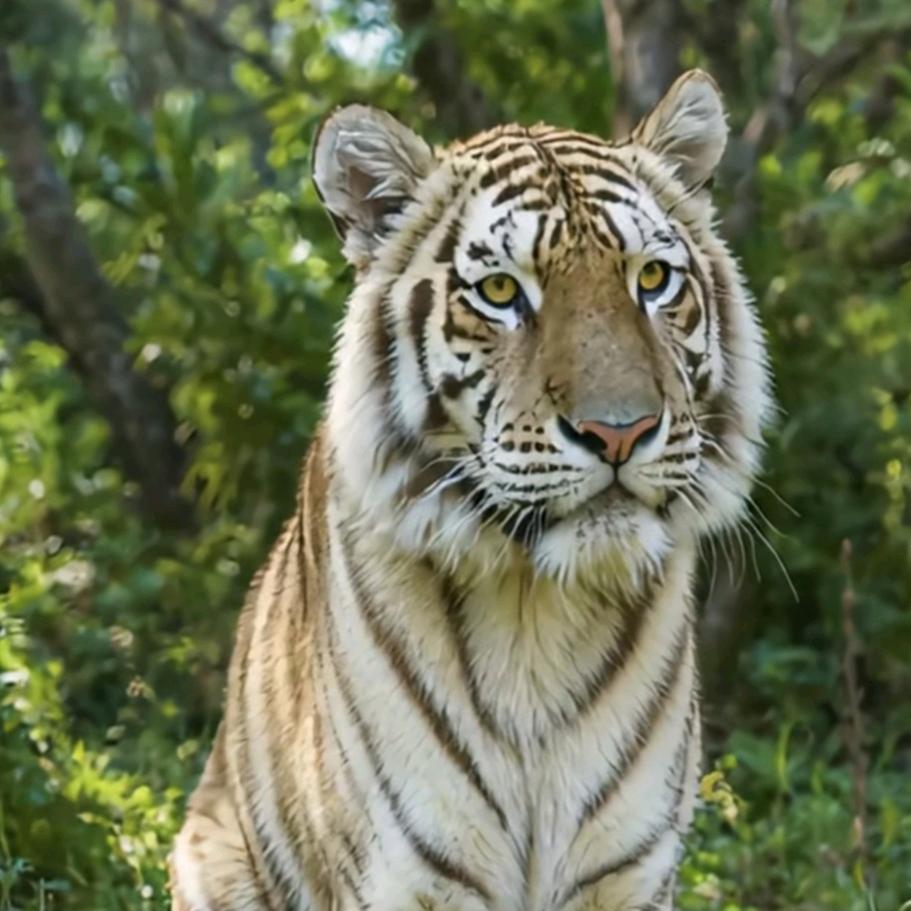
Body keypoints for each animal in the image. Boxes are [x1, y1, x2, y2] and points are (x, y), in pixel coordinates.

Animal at [170, 69, 773, 911]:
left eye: (652, 279)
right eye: (499, 290)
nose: (618, 432)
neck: (537, 617)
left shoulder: (628, 873)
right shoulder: (409, 876)